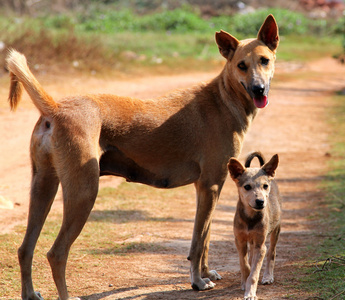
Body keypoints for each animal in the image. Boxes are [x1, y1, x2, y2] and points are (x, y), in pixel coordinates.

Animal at [228, 152, 280, 300]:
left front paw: (250, 293)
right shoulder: (239, 241)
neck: (250, 218)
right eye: (247, 187)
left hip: (275, 230)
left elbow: (254, 273)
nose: (260, 201)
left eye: (265, 186)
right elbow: (244, 265)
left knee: (272, 252)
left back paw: (268, 276)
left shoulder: (260, 246)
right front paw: (244, 283)